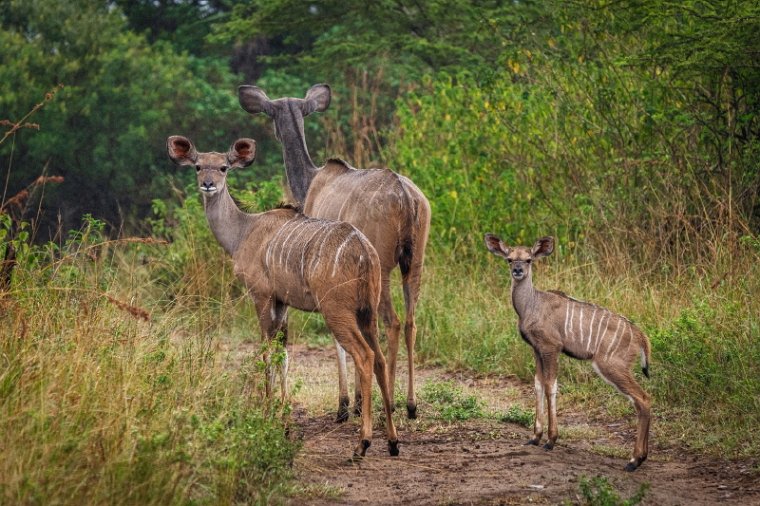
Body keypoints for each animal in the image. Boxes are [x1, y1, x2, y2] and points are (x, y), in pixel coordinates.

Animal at [167, 135, 400, 458]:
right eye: (198, 166)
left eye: (224, 167)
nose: (208, 184)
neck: (244, 232)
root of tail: (364, 250)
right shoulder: (283, 303)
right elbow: (284, 355)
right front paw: (284, 421)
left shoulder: (262, 296)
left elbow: (266, 352)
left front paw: (269, 417)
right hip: (369, 311)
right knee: (378, 358)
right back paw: (392, 442)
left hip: (337, 311)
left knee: (364, 356)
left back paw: (362, 444)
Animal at [239, 84, 428, 422]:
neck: (310, 182)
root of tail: (407, 199)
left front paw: (346, 404)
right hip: (415, 261)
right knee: (410, 321)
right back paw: (410, 404)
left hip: (383, 266)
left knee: (391, 322)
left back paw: (390, 403)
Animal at [484, 235, 652, 472]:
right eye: (509, 259)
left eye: (528, 260)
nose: (517, 270)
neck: (532, 305)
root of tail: (640, 336)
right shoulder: (536, 349)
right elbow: (537, 384)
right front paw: (534, 437)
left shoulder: (551, 348)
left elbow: (550, 386)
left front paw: (550, 440)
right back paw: (639, 458)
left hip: (611, 366)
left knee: (643, 399)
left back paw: (633, 461)